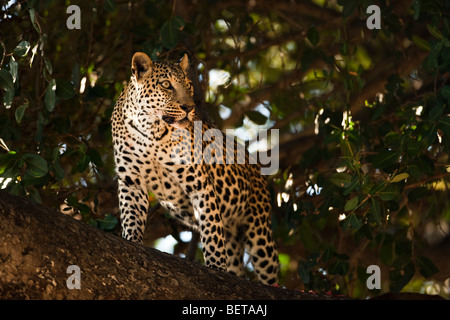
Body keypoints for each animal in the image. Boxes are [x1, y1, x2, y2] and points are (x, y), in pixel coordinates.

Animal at [111, 52, 278, 284]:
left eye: (188, 86)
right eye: (166, 85)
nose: (189, 107)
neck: (151, 129)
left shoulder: (199, 185)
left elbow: (211, 232)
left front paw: (215, 268)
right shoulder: (131, 180)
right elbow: (131, 216)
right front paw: (132, 241)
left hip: (259, 231)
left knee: (269, 269)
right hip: (234, 239)